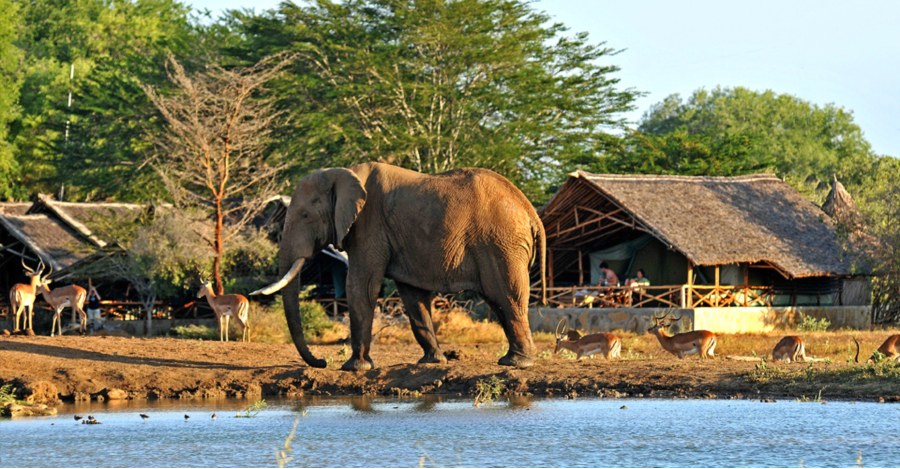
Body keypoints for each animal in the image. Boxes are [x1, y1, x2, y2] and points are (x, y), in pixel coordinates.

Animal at [252, 162, 546, 371]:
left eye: (304, 215)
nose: (322, 362)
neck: (343, 173)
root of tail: (530, 211)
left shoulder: (368, 225)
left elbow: (361, 286)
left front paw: (354, 368)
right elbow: (412, 295)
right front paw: (432, 362)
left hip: (501, 243)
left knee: (506, 297)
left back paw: (516, 363)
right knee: (500, 302)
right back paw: (512, 360)